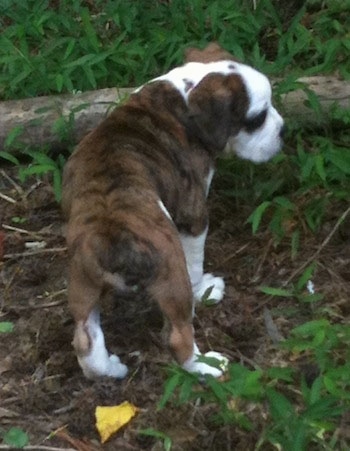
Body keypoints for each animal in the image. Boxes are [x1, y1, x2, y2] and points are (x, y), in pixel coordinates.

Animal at [60, 43, 284, 382]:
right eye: (257, 118)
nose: (283, 130)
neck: (185, 93)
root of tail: (108, 234)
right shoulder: (193, 218)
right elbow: (195, 265)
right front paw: (204, 289)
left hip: (83, 282)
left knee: (85, 341)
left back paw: (110, 368)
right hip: (170, 272)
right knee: (178, 337)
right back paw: (206, 364)